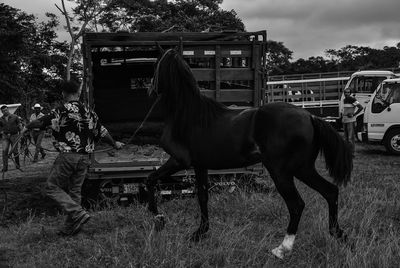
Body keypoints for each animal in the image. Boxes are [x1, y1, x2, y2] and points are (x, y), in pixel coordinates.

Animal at [145, 48, 352, 260]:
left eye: (156, 64)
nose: (150, 89)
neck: (190, 116)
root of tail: (310, 116)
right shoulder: (200, 165)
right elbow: (202, 197)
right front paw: (199, 232)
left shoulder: (179, 161)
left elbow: (150, 179)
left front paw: (159, 218)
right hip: (304, 169)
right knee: (330, 192)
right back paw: (339, 235)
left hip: (282, 171)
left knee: (297, 204)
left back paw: (282, 248)